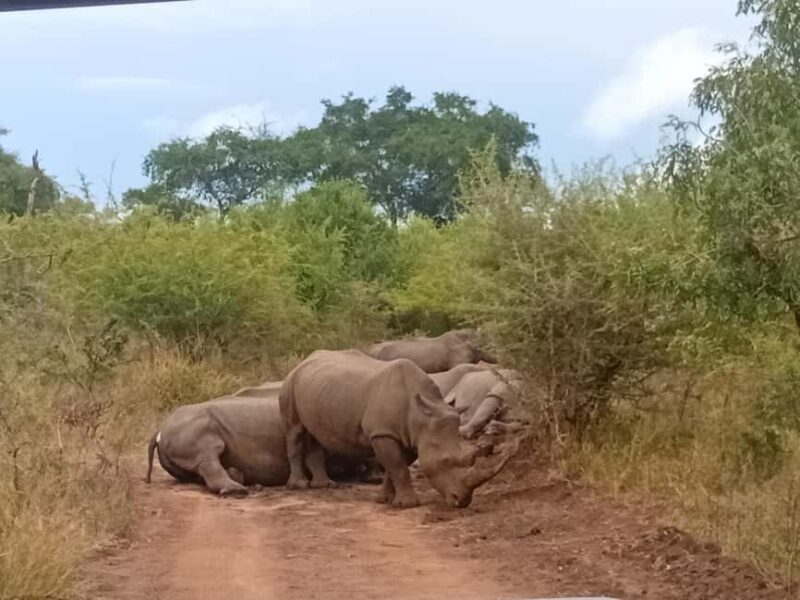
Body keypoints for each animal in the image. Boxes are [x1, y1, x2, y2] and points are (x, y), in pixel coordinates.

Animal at [279, 349, 517, 508]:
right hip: (290, 381)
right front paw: (408, 504)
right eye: (446, 461)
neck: (422, 416)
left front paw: (384, 499)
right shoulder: (383, 433)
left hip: (320, 389)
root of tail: (306, 359)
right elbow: (398, 467)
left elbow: (394, 467)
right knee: (295, 430)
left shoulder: (409, 435)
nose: (462, 501)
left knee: (315, 433)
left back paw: (325, 485)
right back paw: (299, 486)